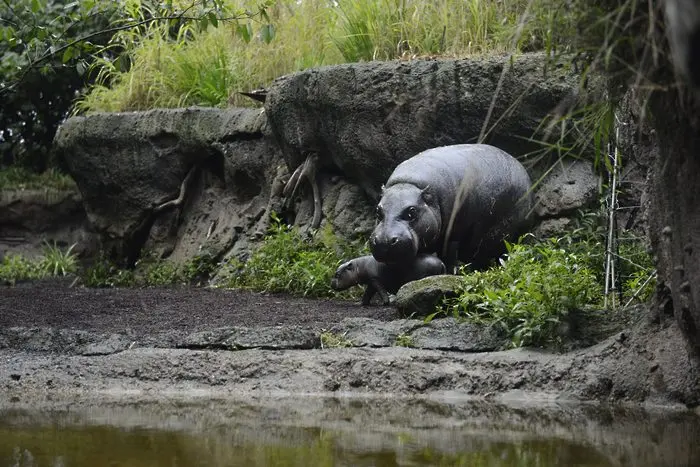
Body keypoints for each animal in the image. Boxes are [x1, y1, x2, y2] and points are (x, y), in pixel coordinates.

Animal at [372, 144, 532, 272]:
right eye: (378, 211)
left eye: (412, 212)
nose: (384, 241)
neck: (408, 184)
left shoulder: (454, 231)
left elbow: (449, 251)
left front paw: (453, 271)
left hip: (499, 234)